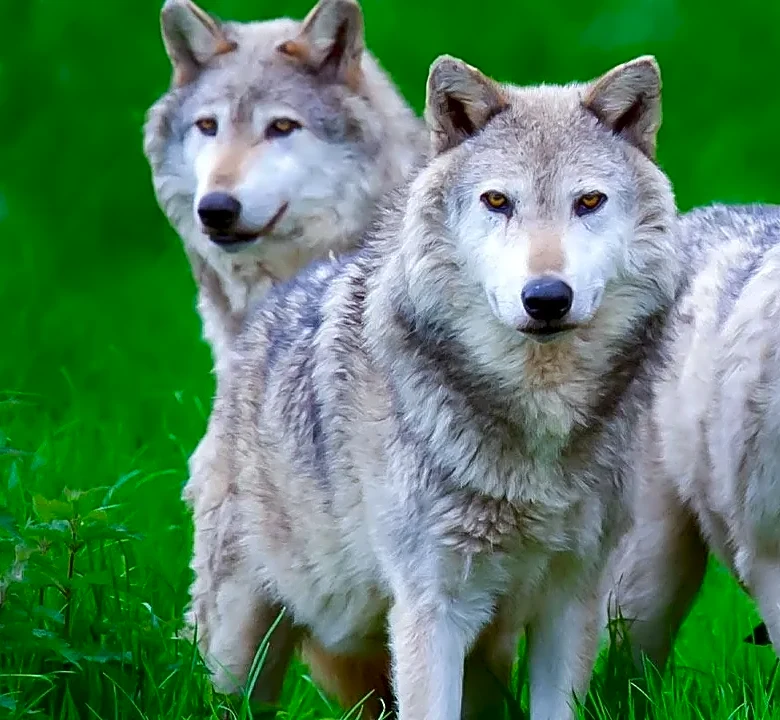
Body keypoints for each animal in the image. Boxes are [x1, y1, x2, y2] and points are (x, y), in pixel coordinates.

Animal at [186, 52, 684, 719]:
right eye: (497, 200)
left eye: (589, 201)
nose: (546, 297)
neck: (536, 418)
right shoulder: (432, 607)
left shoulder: (570, 602)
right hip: (243, 649)